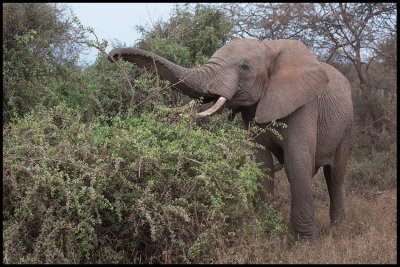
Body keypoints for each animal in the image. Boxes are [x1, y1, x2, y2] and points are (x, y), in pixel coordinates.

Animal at [108, 38, 354, 242]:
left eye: (244, 68)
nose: (113, 55)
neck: (269, 47)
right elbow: (261, 164)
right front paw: (267, 235)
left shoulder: (304, 106)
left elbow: (297, 164)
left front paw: (306, 246)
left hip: (347, 126)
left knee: (335, 176)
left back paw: (339, 231)